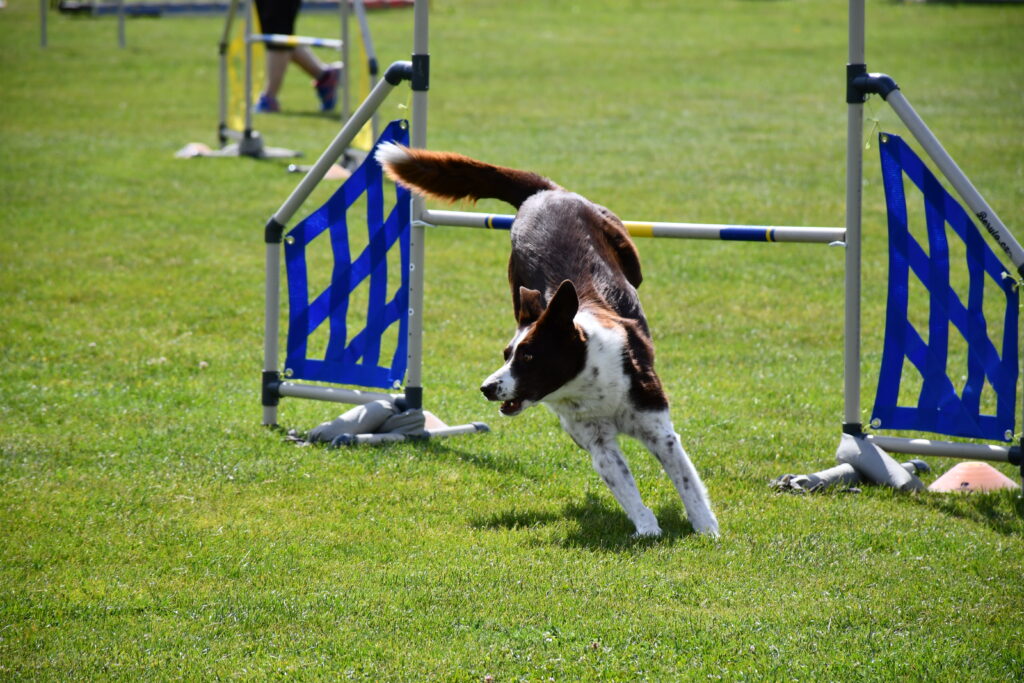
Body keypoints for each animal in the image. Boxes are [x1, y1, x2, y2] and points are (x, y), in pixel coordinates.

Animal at [378, 145, 720, 540]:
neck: (589, 377)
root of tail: (545, 193)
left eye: (528, 357)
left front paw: (706, 528)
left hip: (627, 253)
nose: (486, 388)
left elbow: (685, 480)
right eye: (506, 354)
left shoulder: (657, 427)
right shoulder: (597, 442)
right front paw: (647, 529)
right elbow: (625, 486)